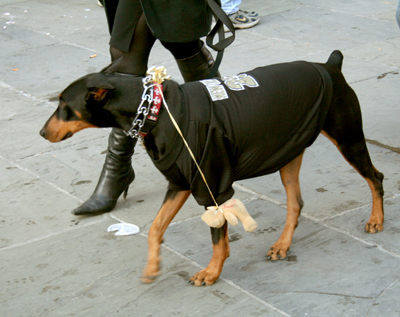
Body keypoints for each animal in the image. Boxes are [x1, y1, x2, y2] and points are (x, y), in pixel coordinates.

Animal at [40, 50, 384, 286]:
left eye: (65, 106)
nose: (42, 133)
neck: (156, 111)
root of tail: (330, 65)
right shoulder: (180, 182)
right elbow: (155, 228)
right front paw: (152, 267)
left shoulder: (212, 185)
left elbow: (219, 240)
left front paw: (211, 272)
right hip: (290, 150)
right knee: (296, 203)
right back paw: (282, 245)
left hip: (348, 138)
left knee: (376, 177)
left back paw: (376, 220)